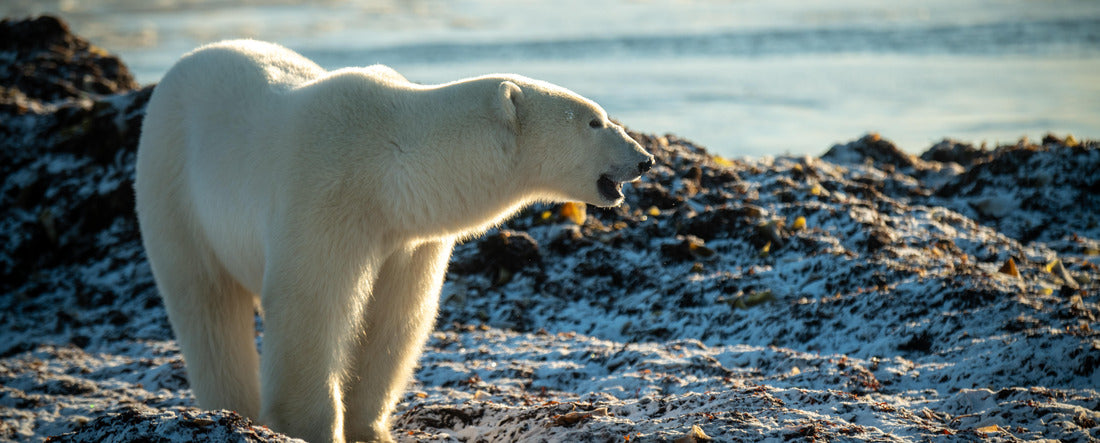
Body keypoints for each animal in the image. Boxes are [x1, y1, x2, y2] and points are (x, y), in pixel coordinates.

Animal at [134, 39, 653, 443]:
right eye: (594, 121)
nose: (645, 158)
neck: (388, 164)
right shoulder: (324, 197)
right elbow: (312, 309)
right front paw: (311, 427)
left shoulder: (408, 238)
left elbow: (395, 317)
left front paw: (370, 427)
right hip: (174, 187)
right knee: (206, 305)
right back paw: (231, 409)